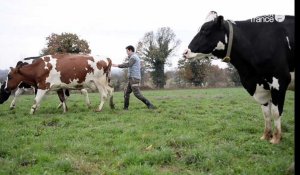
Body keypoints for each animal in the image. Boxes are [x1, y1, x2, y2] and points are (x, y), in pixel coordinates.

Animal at [184, 11, 294, 144]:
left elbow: (276, 112)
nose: (185, 52)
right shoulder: (261, 87)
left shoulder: (280, 80)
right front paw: (266, 136)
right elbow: (266, 113)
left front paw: (276, 139)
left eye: (205, 30)